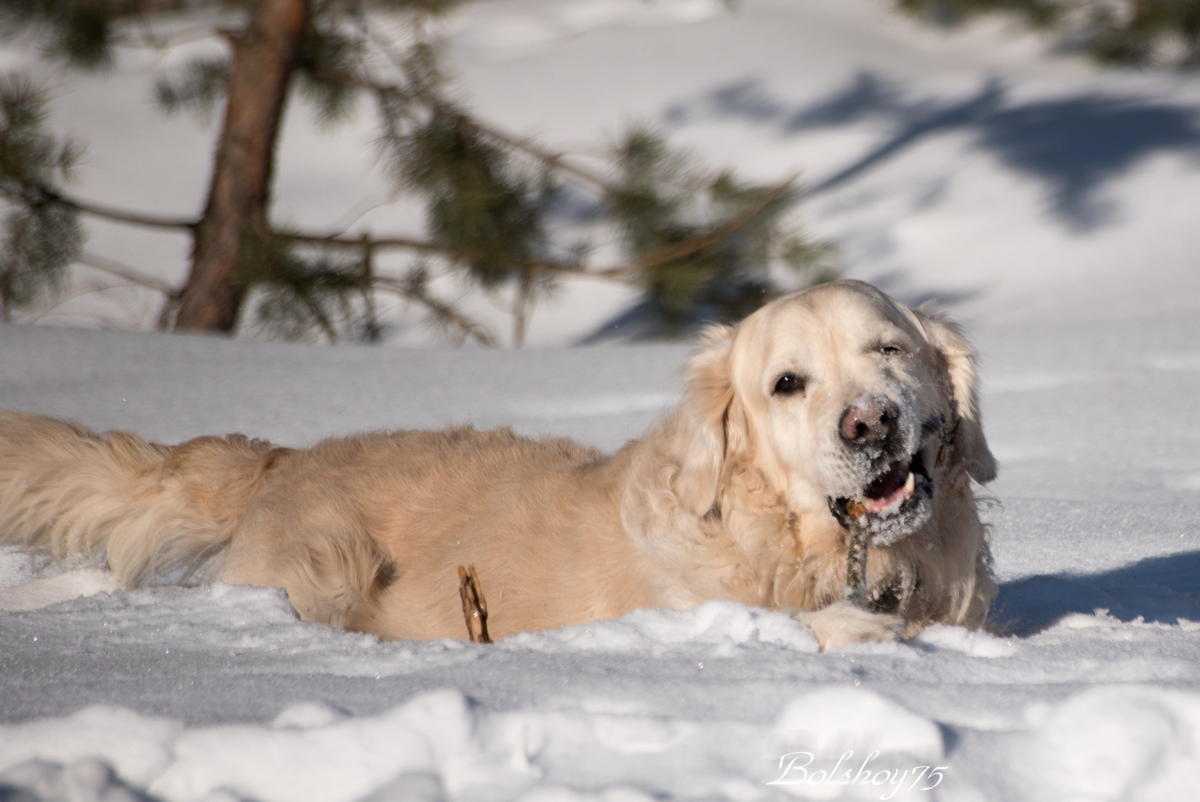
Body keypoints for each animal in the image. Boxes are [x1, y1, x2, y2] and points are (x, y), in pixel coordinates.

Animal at [0, 282, 993, 653]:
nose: (871, 424)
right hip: (327, 564)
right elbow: (831, 630)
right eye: (788, 383)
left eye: (888, 349)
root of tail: (282, 456)